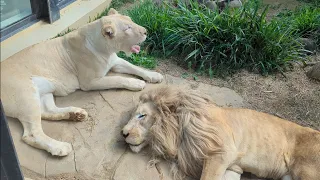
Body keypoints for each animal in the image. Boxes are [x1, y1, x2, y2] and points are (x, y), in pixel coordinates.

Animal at [0, 8, 162, 156]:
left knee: (47, 111)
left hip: (45, 91)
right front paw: (137, 83)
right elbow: (117, 79)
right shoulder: (89, 82)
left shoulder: (115, 61)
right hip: (26, 95)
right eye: (127, 28)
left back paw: (76, 115)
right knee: (31, 133)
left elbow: (135, 67)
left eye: (130, 20)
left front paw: (154, 75)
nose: (146, 31)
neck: (106, 49)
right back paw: (60, 147)